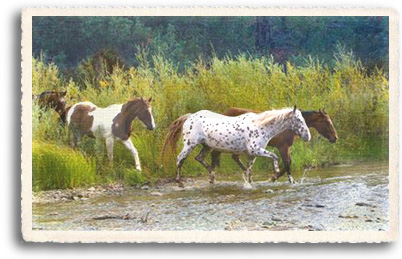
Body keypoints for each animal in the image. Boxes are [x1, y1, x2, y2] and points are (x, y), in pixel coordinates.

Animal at [165, 105, 312, 189]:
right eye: (298, 120)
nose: (307, 136)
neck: (260, 126)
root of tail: (189, 117)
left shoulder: (252, 154)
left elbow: (248, 170)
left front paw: (249, 184)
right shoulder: (255, 150)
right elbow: (274, 156)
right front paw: (275, 172)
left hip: (207, 146)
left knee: (199, 158)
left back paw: (212, 177)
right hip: (189, 144)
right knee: (179, 159)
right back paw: (180, 183)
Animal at [210, 106, 340, 184]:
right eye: (326, 122)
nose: (335, 138)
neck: (290, 127)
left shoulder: (287, 148)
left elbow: (288, 163)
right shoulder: (283, 147)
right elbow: (287, 164)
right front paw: (276, 178)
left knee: (232, 157)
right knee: (216, 154)